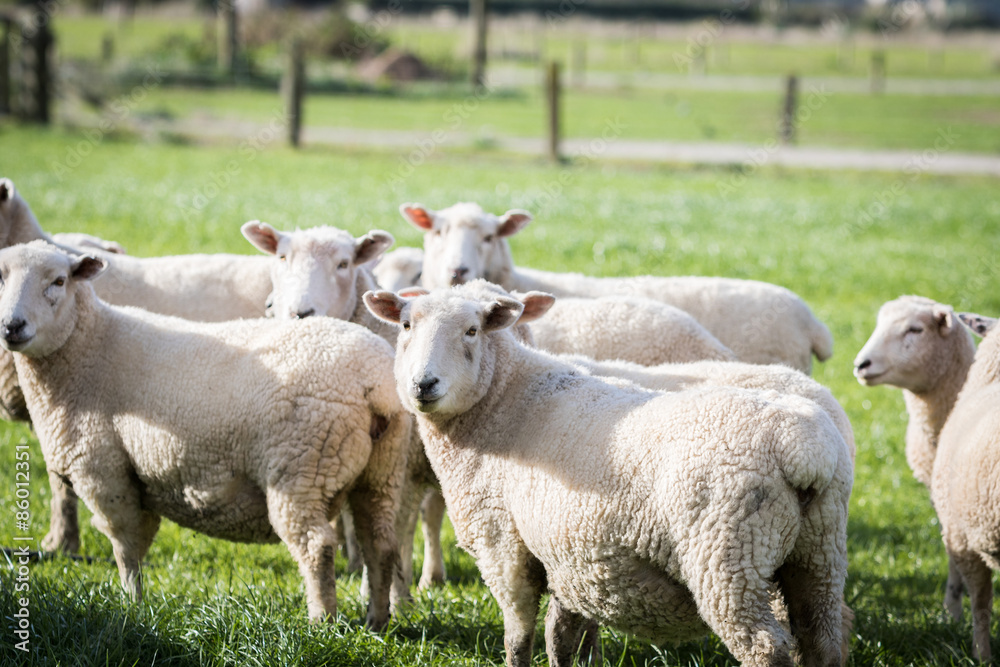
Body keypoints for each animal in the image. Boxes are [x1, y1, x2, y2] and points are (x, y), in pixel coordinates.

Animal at [0, 243, 412, 628]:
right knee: (380, 543)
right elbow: (136, 544)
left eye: (59, 281)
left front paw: (131, 606)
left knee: (317, 547)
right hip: (381, 471)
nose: (11, 327)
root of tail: (372, 382)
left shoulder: (105, 473)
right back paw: (377, 621)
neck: (89, 346)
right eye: (0, 278)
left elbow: (126, 548)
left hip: (301, 471)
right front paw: (134, 604)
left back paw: (320, 621)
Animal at [366, 284, 852, 667]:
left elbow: (519, 638)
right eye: (405, 326)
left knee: (765, 648)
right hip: (818, 552)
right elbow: (562, 638)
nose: (424, 385)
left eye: (472, 330)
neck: (503, 401)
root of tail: (804, 449)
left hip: (729, 558)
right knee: (824, 639)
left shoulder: (504, 546)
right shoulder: (569, 559)